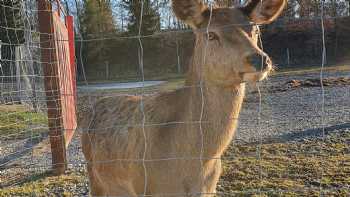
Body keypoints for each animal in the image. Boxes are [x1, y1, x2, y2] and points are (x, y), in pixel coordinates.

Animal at [81, 0, 288, 195]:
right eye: (211, 34)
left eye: (255, 29)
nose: (260, 59)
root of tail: (96, 104)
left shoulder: (210, 188)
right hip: (93, 173)